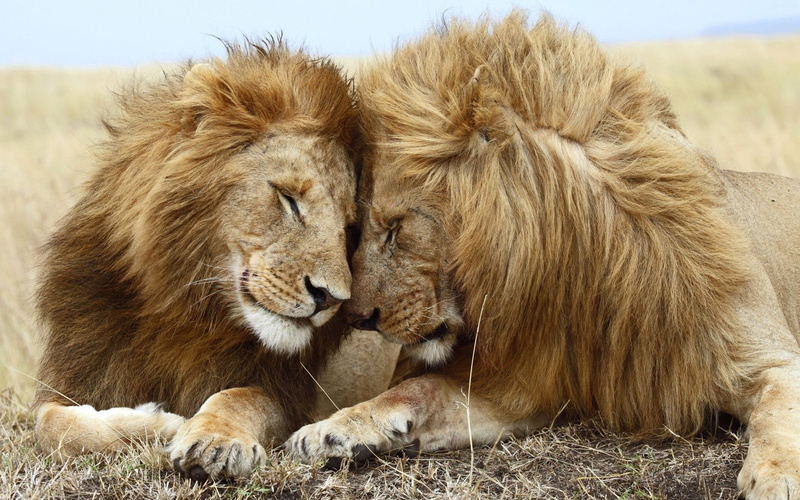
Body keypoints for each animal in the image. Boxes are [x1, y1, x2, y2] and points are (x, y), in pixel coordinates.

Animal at [32, 39, 396, 481]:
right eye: (289, 198)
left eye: (348, 227)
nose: (331, 298)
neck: (186, 309)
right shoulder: (77, 374)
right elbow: (51, 425)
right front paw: (158, 423)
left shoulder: (285, 392)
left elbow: (237, 397)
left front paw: (212, 440)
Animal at [286, 12, 800, 498]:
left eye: (395, 228)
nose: (356, 318)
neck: (582, 265)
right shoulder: (523, 384)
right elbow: (418, 389)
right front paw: (330, 430)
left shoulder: (770, 358)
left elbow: (780, 412)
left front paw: (777, 478)